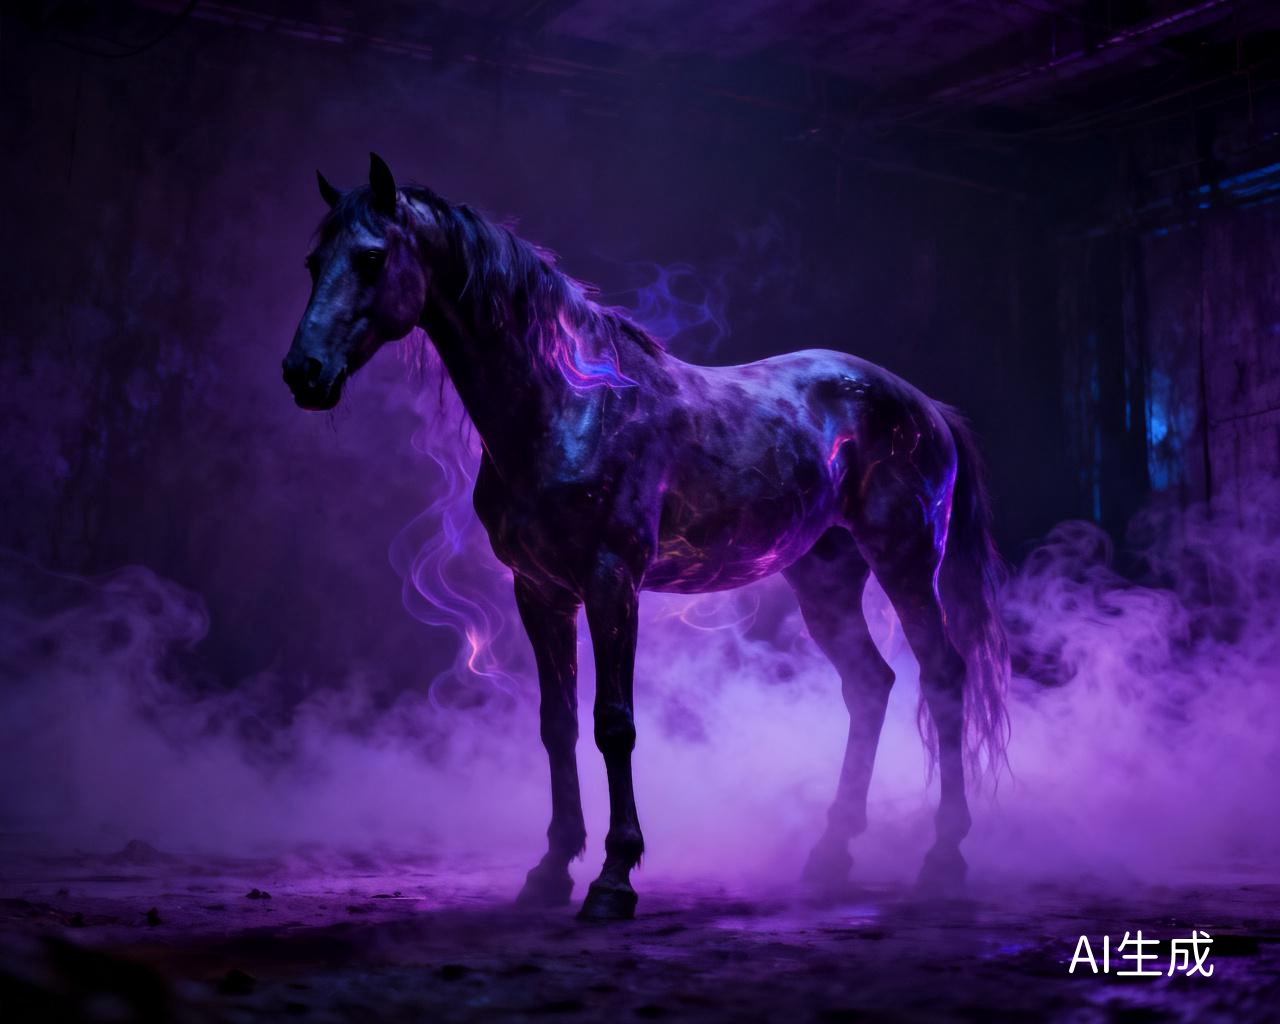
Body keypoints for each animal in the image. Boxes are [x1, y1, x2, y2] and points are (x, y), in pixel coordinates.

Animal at [282, 153, 1010, 920]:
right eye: (311, 261)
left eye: (370, 257)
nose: (303, 373)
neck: (566, 404)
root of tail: (923, 406)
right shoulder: (540, 590)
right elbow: (557, 724)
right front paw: (551, 869)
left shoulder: (612, 581)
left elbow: (614, 723)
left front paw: (614, 876)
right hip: (826, 578)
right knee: (870, 685)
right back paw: (830, 854)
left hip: (905, 560)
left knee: (944, 676)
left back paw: (944, 859)